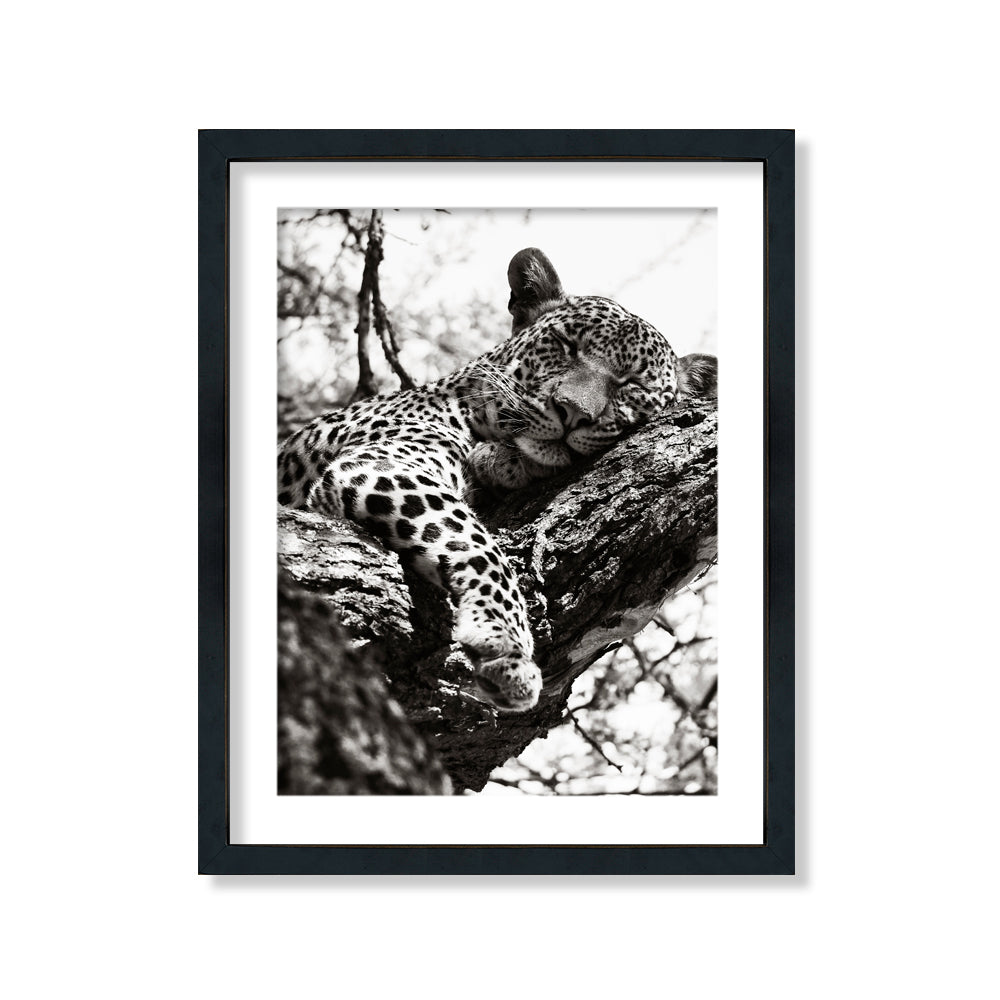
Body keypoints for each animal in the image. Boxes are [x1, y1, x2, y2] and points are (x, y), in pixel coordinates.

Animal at [277, 247, 716, 714]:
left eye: (631, 384)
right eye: (567, 346)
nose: (572, 411)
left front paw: (500, 463)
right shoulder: (382, 462)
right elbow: (477, 544)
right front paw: (505, 643)